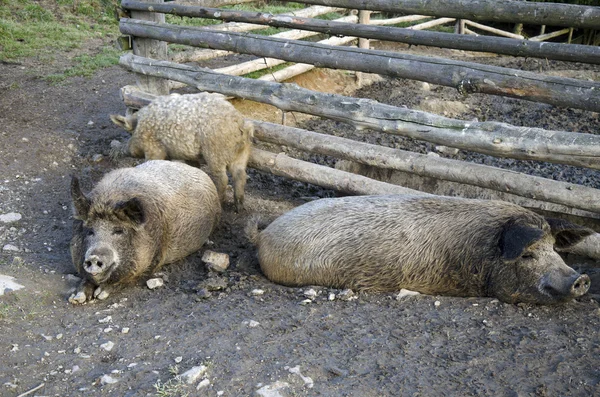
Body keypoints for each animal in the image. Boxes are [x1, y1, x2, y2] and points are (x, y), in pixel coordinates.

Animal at [68, 159, 221, 302]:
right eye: (90, 231)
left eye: (119, 231)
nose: (94, 258)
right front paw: (77, 298)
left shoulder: (156, 258)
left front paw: (101, 294)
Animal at [110, 92, 253, 210]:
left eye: (130, 134)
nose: (126, 150)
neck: (140, 126)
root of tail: (240, 123)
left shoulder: (154, 149)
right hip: (243, 152)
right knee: (240, 175)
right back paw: (239, 207)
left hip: (215, 152)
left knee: (222, 179)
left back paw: (219, 201)